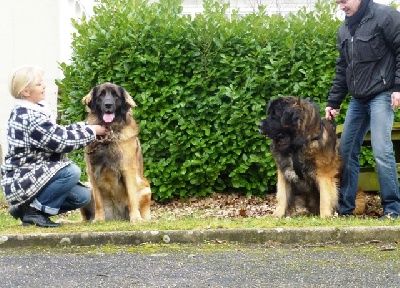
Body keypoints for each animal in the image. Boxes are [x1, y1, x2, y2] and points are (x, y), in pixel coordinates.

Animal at [80, 82, 151, 222]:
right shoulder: (92, 172)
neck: (108, 137)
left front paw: (135, 218)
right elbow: (98, 201)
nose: (108, 105)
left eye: (115, 95)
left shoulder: (128, 169)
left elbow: (132, 197)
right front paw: (99, 219)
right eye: (101, 95)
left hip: (145, 188)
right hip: (87, 186)